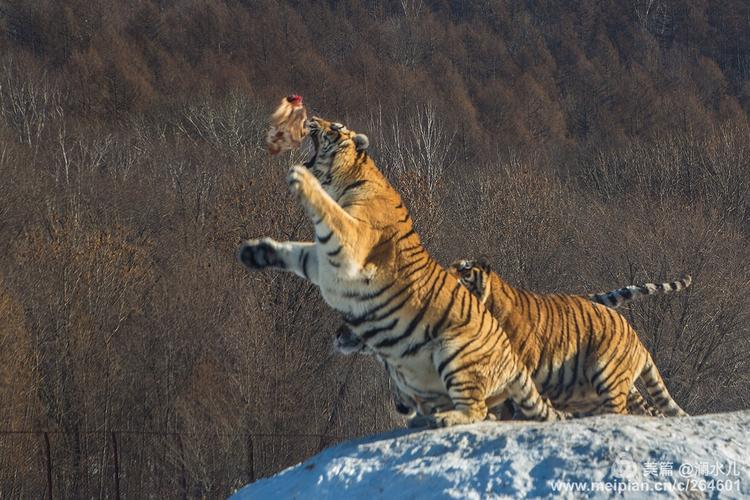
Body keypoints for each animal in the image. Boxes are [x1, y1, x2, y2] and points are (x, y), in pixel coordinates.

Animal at [238, 116, 568, 428]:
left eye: (335, 126)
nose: (312, 119)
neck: (349, 179)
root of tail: (514, 359)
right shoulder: (324, 261)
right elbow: (296, 251)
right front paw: (256, 251)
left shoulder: (351, 242)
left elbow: (326, 210)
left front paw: (301, 179)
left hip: (455, 354)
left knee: (479, 411)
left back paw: (444, 419)